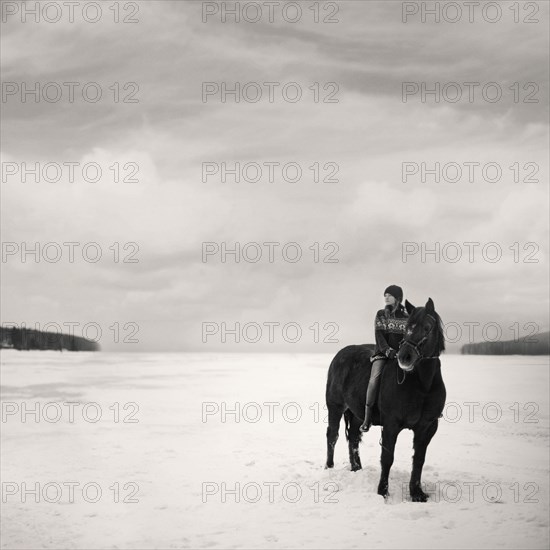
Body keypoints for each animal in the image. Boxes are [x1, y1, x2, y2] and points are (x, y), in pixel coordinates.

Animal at [326, 300, 446, 502]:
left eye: (427, 327)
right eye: (407, 327)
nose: (404, 357)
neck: (423, 385)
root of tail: (340, 354)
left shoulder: (427, 427)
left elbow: (419, 460)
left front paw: (417, 493)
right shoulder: (391, 424)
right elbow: (387, 459)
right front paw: (382, 491)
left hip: (358, 414)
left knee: (353, 439)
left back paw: (356, 468)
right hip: (335, 407)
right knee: (332, 436)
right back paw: (329, 467)